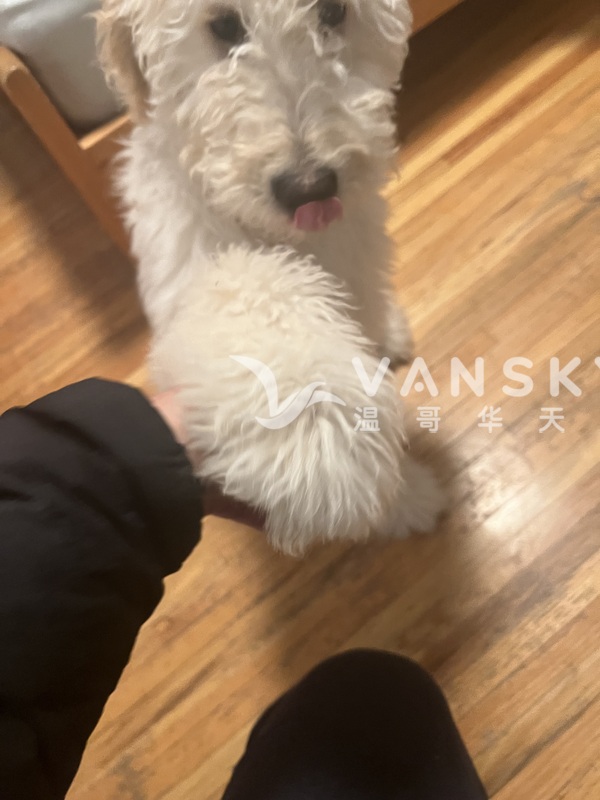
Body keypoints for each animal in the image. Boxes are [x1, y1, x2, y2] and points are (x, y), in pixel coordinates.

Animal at [97, 0, 446, 554]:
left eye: (333, 11)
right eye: (222, 25)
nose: (309, 187)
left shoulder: (355, 248)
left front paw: (405, 497)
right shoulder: (186, 267)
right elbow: (251, 292)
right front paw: (313, 429)